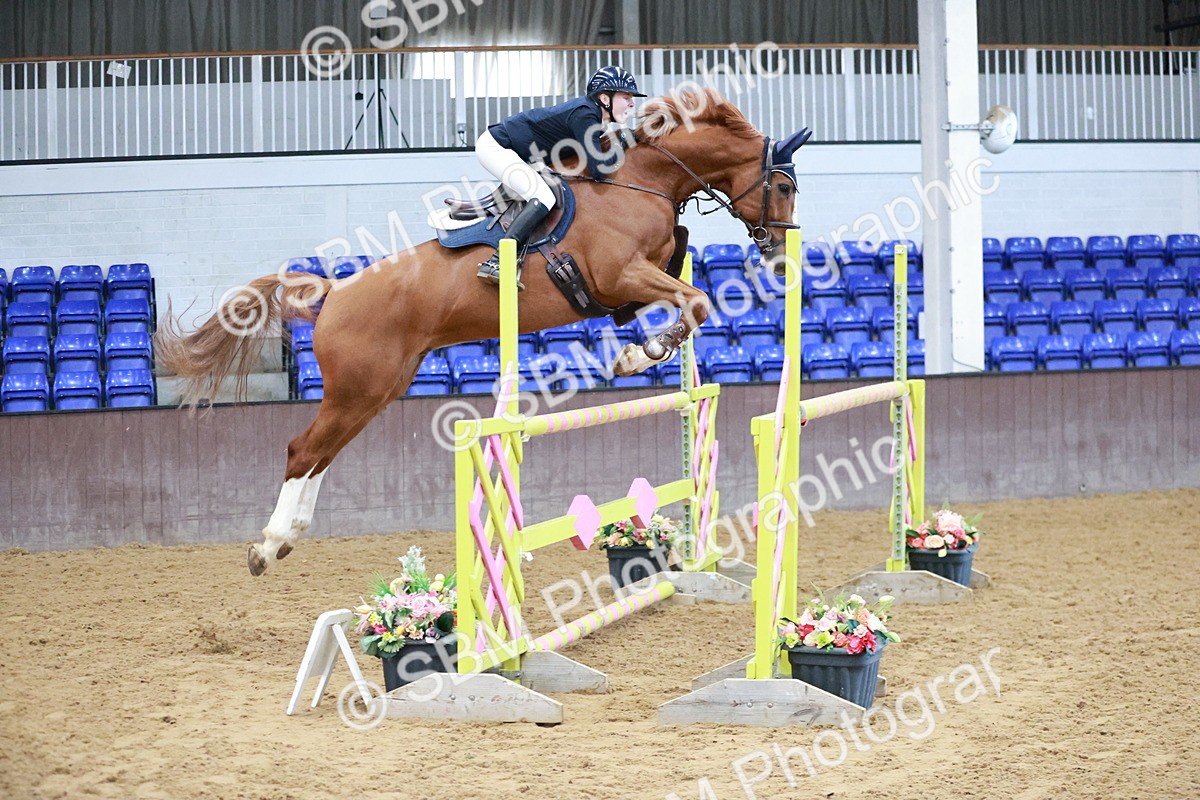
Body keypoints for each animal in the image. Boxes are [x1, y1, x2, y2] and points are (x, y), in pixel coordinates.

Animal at [154, 87, 810, 576]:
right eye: (782, 186)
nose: (781, 257)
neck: (641, 175)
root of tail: (334, 294)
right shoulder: (619, 272)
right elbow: (695, 300)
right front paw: (639, 353)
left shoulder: (639, 273)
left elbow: (682, 262)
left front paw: (639, 340)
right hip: (359, 388)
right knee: (303, 451)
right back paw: (266, 547)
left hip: (373, 391)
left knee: (321, 454)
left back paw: (288, 537)